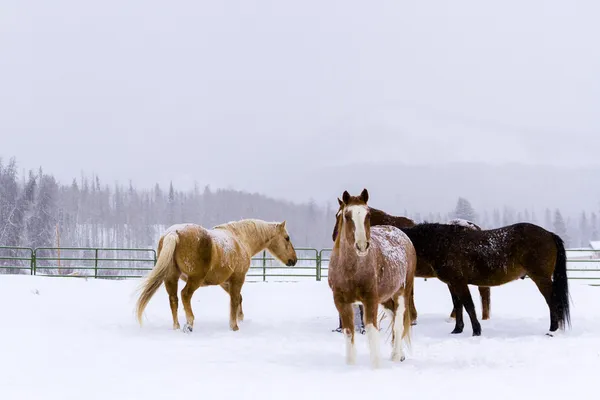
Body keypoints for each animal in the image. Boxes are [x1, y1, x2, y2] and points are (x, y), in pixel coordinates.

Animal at [135, 219, 296, 332]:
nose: (293, 260)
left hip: (171, 278)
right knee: (185, 295)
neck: (240, 239)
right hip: (195, 279)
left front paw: (240, 318)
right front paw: (234, 326)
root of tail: (174, 233)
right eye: (287, 238)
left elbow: (238, 299)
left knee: (173, 299)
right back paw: (189, 324)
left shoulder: (224, 282)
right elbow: (235, 300)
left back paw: (176, 326)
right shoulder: (238, 278)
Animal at [328, 189, 418, 368]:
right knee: (393, 318)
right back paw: (398, 354)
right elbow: (349, 332)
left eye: (368, 215)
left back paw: (396, 356)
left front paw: (376, 366)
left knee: (398, 323)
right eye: (346, 215)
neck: (350, 269)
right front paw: (350, 366)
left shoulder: (370, 300)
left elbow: (371, 331)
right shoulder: (341, 302)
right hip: (385, 298)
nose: (362, 246)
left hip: (401, 292)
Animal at [398, 220, 572, 336]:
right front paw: (457, 329)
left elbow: (469, 306)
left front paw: (476, 331)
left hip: (541, 278)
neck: (443, 243)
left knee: (552, 302)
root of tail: (548, 234)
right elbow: (458, 305)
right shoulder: (452, 284)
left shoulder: (459, 283)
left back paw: (552, 330)